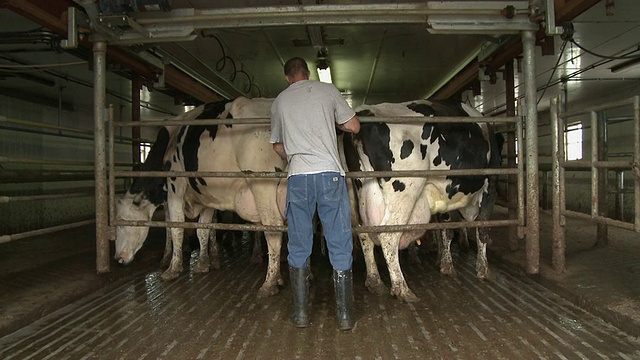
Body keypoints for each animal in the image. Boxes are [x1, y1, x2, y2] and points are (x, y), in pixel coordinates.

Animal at [114, 97, 286, 296]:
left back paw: (269, 283)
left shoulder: (175, 187)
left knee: (273, 226)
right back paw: (278, 277)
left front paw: (172, 268)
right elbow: (203, 229)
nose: (117, 258)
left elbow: (175, 228)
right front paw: (203, 264)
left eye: (122, 222)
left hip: (261, 184)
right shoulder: (206, 195)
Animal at [342, 97, 502, 300]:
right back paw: (401, 288)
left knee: (364, 232)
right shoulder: (491, 183)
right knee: (388, 235)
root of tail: (364, 111)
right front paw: (483, 269)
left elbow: (446, 231)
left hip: (358, 190)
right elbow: (482, 228)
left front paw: (446, 265)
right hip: (404, 190)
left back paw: (374, 281)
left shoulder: (445, 195)